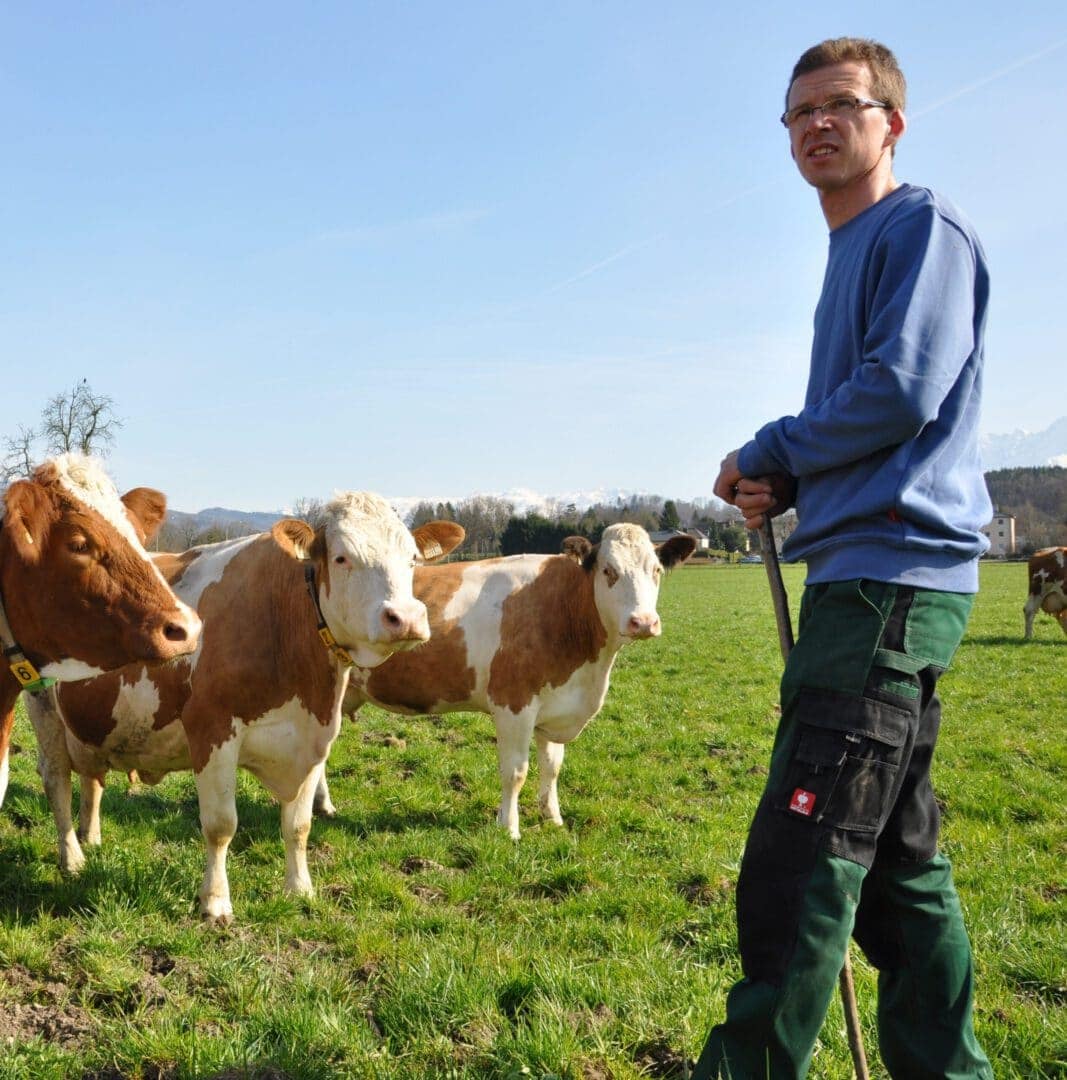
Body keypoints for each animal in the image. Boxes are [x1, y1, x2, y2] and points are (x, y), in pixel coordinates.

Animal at [24, 494, 462, 924]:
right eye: (341, 557)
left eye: (412, 559)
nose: (406, 618)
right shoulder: (211, 729)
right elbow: (221, 825)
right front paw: (216, 903)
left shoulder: (315, 737)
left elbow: (299, 825)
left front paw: (300, 890)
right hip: (42, 707)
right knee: (56, 780)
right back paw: (72, 858)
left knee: (91, 778)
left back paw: (91, 837)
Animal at [313, 527, 695, 838]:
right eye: (608, 571)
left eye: (656, 571)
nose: (643, 622)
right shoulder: (514, 704)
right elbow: (515, 771)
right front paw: (509, 828)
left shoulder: (553, 707)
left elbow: (552, 767)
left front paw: (552, 817)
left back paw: (322, 806)